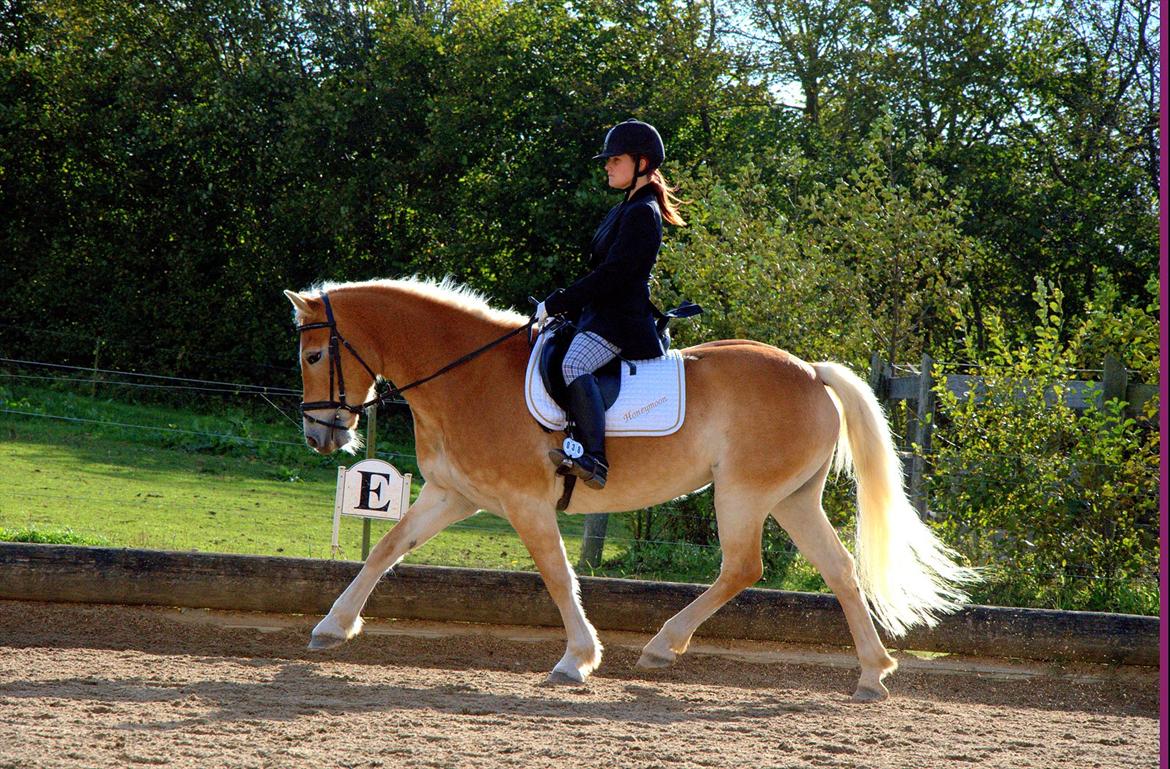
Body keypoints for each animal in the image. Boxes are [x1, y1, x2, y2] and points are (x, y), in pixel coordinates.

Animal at [285, 277, 978, 702]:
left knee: (743, 567)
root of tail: (810, 371)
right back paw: (872, 673)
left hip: (744, 495)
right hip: (791, 499)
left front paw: (578, 659)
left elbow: (558, 576)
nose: (321, 435)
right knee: (838, 570)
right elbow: (387, 548)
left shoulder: (526, 503)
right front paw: (333, 626)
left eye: (315, 356)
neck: (466, 376)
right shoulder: (453, 494)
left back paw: (663, 645)